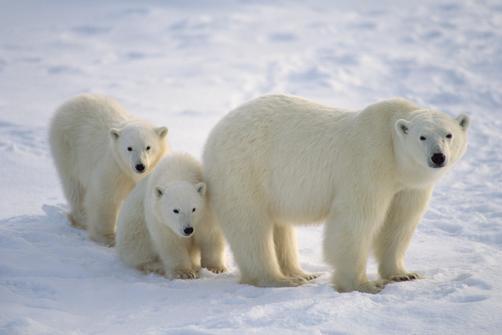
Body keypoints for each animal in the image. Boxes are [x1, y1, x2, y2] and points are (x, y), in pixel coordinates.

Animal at [49, 94, 170, 247]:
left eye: (148, 147)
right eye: (129, 148)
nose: (140, 166)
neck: (131, 174)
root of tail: (70, 102)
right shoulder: (115, 168)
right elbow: (105, 198)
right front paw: (107, 238)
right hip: (67, 148)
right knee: (74, 186)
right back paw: (81, 219)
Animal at [202, 94, 468, 294]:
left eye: (449, 134)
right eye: (422, 137)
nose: (438, 157)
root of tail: (215, 132)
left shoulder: (409, 186)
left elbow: (399, 222)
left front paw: (404, 274)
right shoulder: (368, 162)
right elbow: (355, 221)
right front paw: (364, 284)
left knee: (279, 227)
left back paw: (301, 273)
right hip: (245, 169)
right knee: (251, 227)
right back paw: (279, 279)